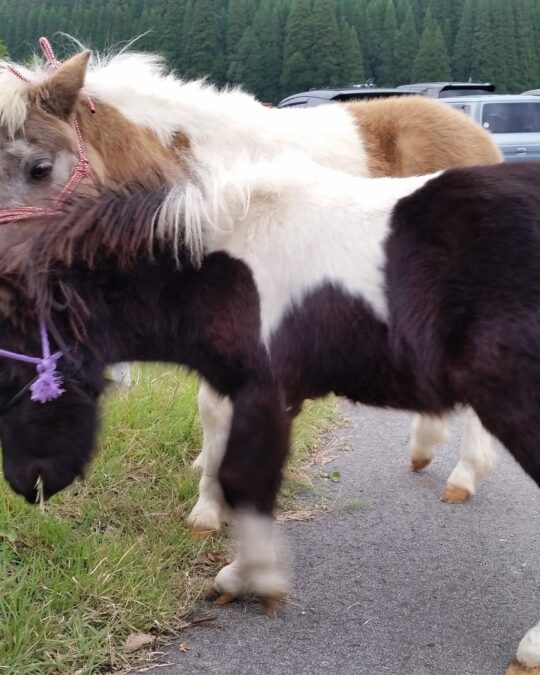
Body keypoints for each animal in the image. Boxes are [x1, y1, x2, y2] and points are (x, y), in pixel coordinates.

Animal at [0, 158, 539, 673]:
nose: (27, 486)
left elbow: (244, 479)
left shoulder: (265, 391)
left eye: (12, 377)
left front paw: (252, 577)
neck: (224, 269)